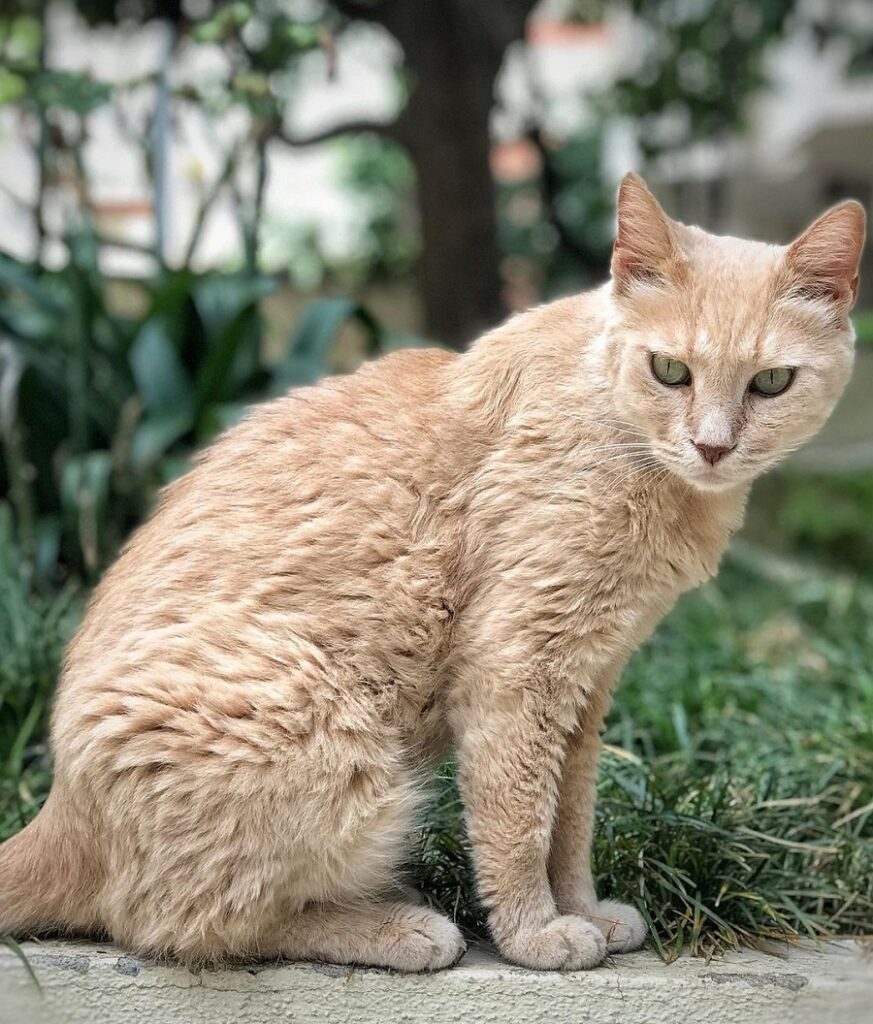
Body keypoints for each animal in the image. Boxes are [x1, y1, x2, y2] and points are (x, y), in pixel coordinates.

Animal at [0, 174, 863, 966]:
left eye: (770, 383)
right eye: (670, 371)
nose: (713, 447)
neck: (613, 426)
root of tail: (57, 816)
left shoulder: (587, 688)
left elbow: (570, 819)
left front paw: (580, 908)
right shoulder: (516, 669)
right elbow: (519, 822)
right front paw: (535, 932)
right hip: (333, 738)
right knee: (178, 922)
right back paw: (398, 928)